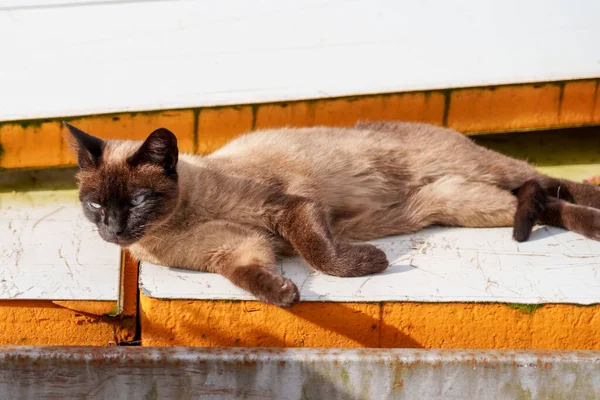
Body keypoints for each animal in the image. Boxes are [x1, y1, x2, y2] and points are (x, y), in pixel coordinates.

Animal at [64, 120, 600, 308]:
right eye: (96, 205)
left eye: (136, 201)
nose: (113, 230)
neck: (175, 224)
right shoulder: (235, 250)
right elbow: (252, 279)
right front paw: (285, 294)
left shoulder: (287, 209)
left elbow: (321, 254)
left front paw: (373, 265)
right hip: (466, 202)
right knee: (543, 202)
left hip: (478, 174)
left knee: (550, 183)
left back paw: (596, 214)